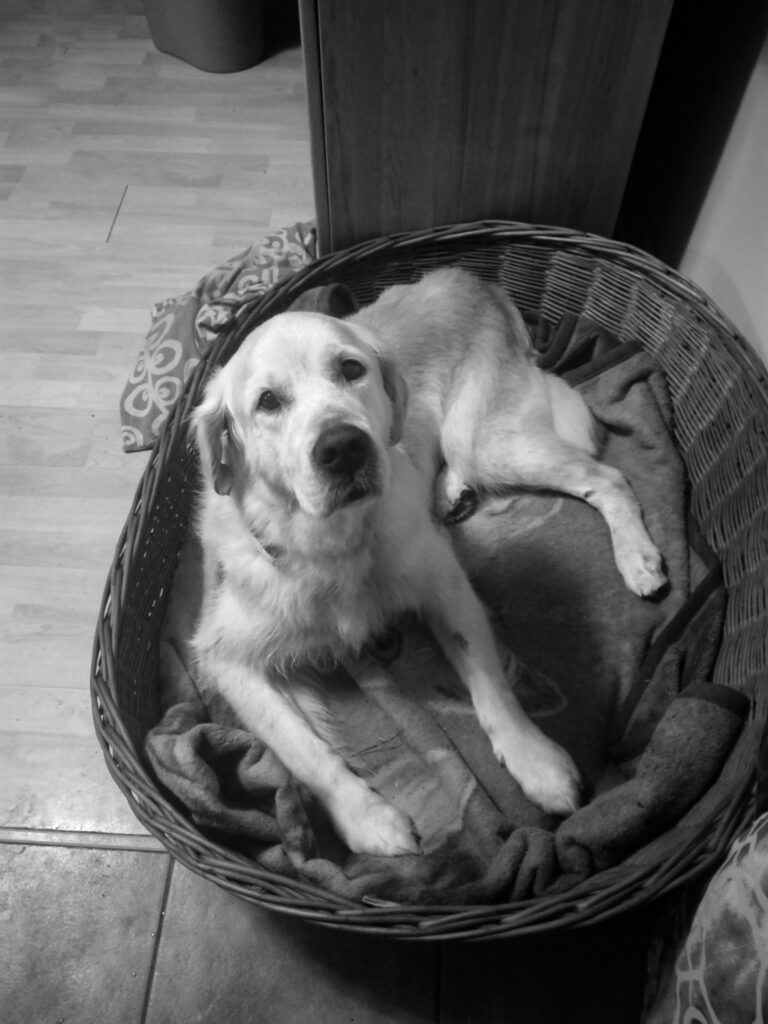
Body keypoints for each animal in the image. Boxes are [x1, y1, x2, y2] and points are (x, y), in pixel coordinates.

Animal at [191, 267, 666, 857]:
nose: (343, 448)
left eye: (351, 369)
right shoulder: (225, 657)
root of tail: (469, 280)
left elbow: (490, 685)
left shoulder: (445, 584)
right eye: (267, 402)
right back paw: (450, 495)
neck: (337, 541)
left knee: (607, 477)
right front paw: (369, 819)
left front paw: (535, 761)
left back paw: (638, 557)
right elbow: (302, 750)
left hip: (486, 442)